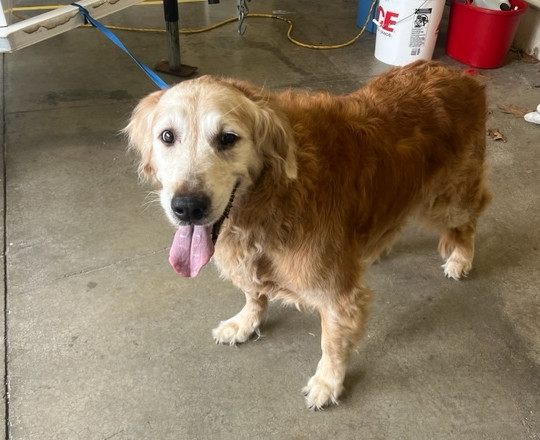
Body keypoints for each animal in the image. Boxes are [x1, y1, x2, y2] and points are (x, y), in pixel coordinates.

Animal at [124, 61, 492, 410]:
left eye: (227, 138)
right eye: (167, 136)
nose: (187, 207)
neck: (271, 198)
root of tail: (462, 75)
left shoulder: (338, 296)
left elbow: (332, 344)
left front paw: (328, 382)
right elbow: (253, 294)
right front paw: (245, 323)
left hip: (448, 200)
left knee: (472, 215)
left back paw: (461, 257)